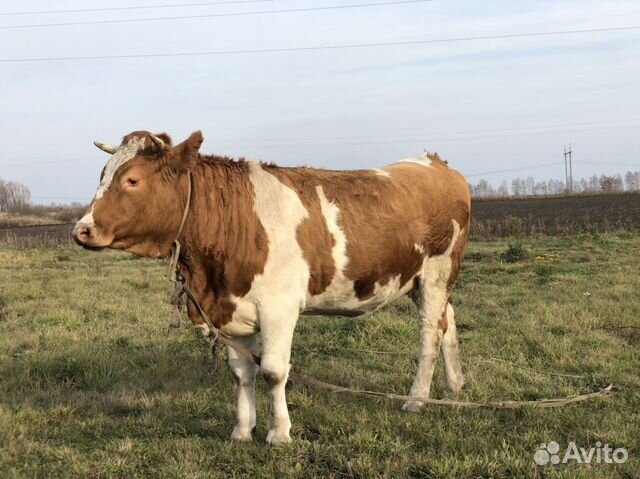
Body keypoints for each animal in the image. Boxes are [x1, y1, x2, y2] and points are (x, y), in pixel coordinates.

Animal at [74, 131, 470, 446]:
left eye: (132, 180)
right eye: (102, 175)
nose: (81, 230)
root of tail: (434, 163)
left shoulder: (279, 308)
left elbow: (273, 371)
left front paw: (279, 433)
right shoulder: (230, 310)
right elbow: (242, 373)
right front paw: (242, 431)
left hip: (437, 273)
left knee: (429, 335)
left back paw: (417, 399)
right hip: (421, 281)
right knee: (447, 322)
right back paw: (454, 387)